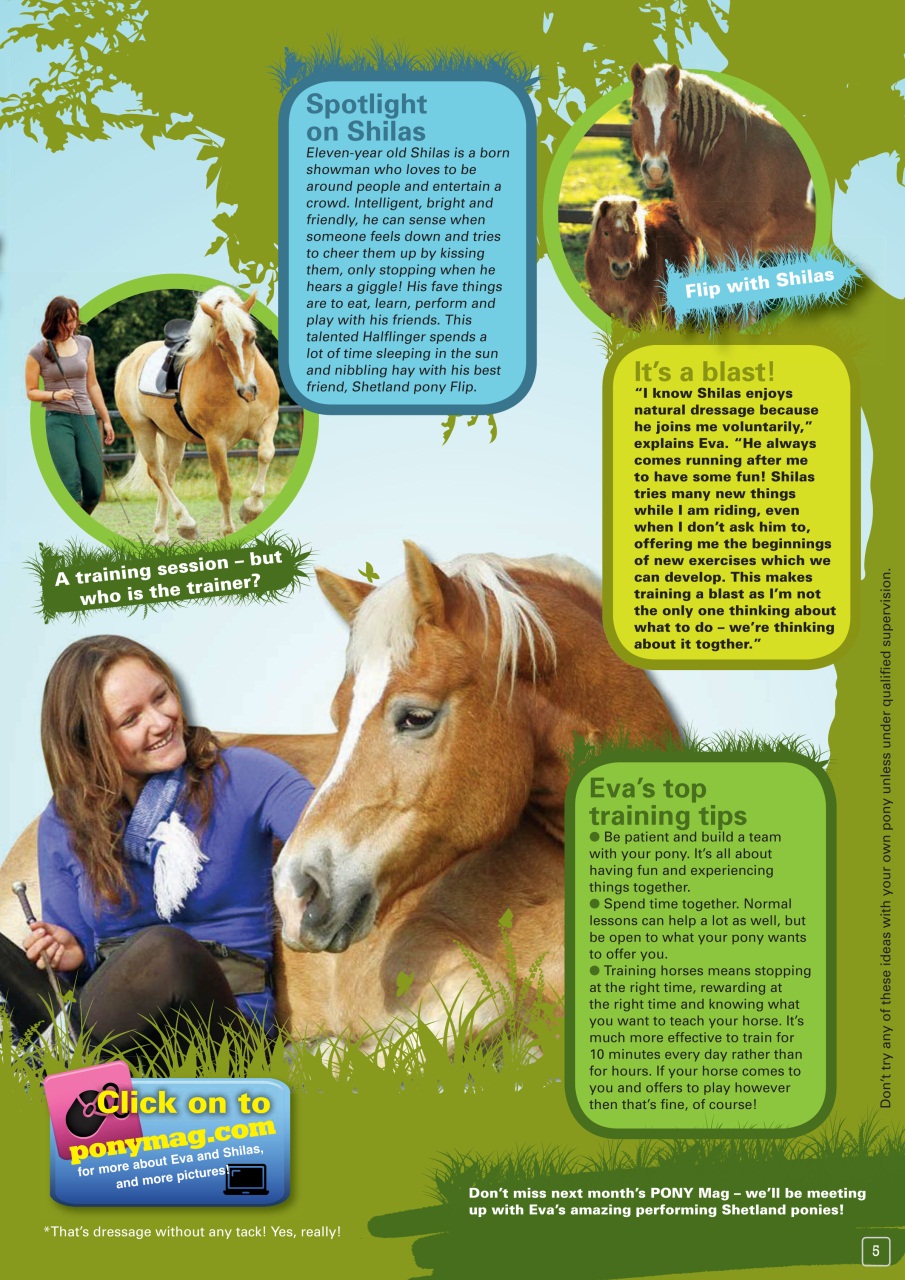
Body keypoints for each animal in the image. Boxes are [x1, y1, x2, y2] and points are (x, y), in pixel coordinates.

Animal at [114, 286, 280, 543]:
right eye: (220, 345)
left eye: (251, 338)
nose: (248, 391)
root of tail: (129, 360)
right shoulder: (215, 441)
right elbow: (224, 487)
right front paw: (228, 531)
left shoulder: (268, 421)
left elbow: (266, 453)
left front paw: (251, 508)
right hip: (143, 430)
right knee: (157, 474)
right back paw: (186, 522)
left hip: (173, 437)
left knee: (167, 476)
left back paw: (162, 533)